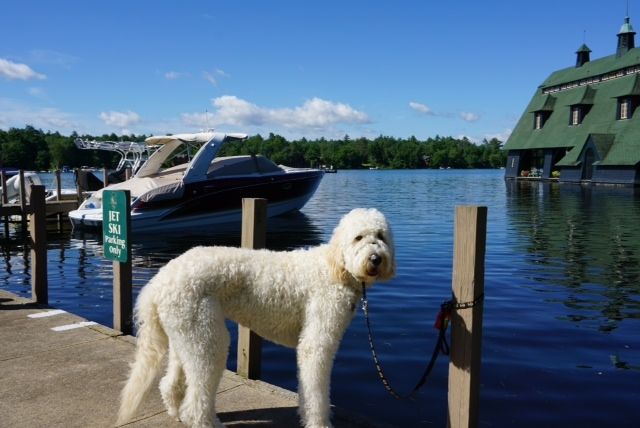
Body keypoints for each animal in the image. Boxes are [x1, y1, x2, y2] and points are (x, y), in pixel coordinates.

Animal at [117, 206, 392, 424]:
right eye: (358, 237)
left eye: (380, 236)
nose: (376, 258)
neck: (335, 267)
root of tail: (160, 280)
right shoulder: (317, 344)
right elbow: (316, 392)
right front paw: (318, 423)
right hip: (207, 339)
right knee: (196, 402)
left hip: (184, 337)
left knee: (170, 384)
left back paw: (175, 414)